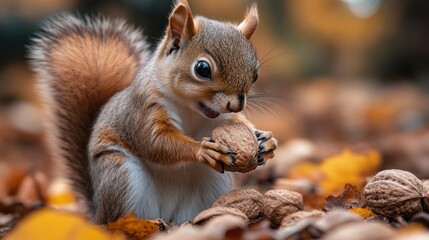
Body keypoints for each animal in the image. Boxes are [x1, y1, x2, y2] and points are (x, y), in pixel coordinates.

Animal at [30, 0, 278, 224]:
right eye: (202, 69)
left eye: (255, 73)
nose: (236, 104)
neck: (190, 109)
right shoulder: (144, 108)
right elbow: (155, 142)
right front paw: (201, 149)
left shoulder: (223, 120)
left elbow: (239, 126)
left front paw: (265, 140)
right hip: (121, 175)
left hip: (211, 186)